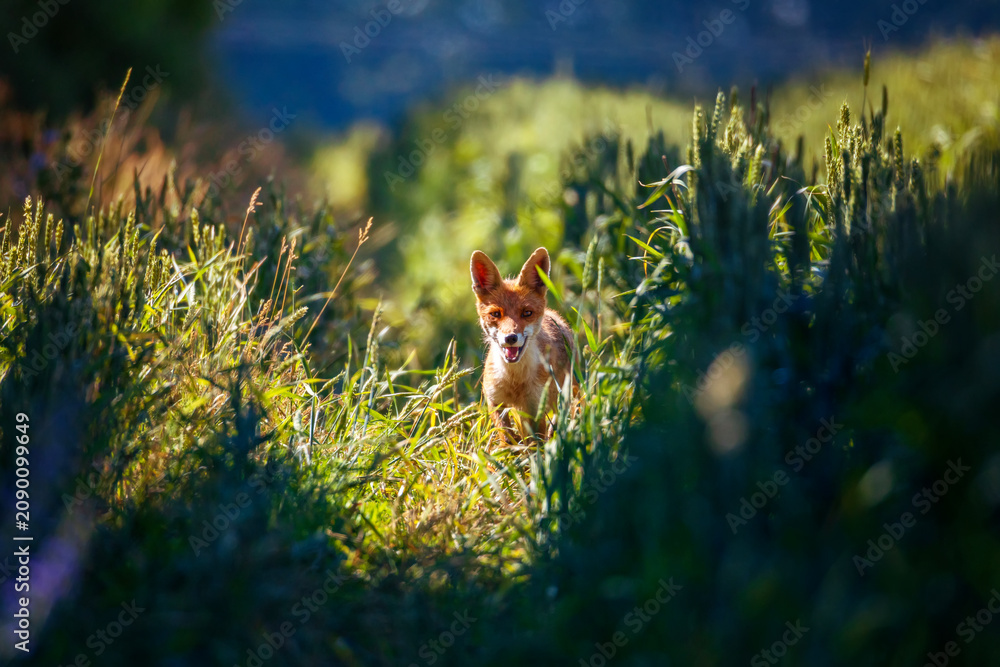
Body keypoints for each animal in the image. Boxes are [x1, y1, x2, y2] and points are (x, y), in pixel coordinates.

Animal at [470, 247, 575, 442]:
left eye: (527, 313)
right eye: (495, 314)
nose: (510, 338)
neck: (514, 380)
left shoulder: (535, 407)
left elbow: (536, 443)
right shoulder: (495, 401)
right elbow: (507, 438)